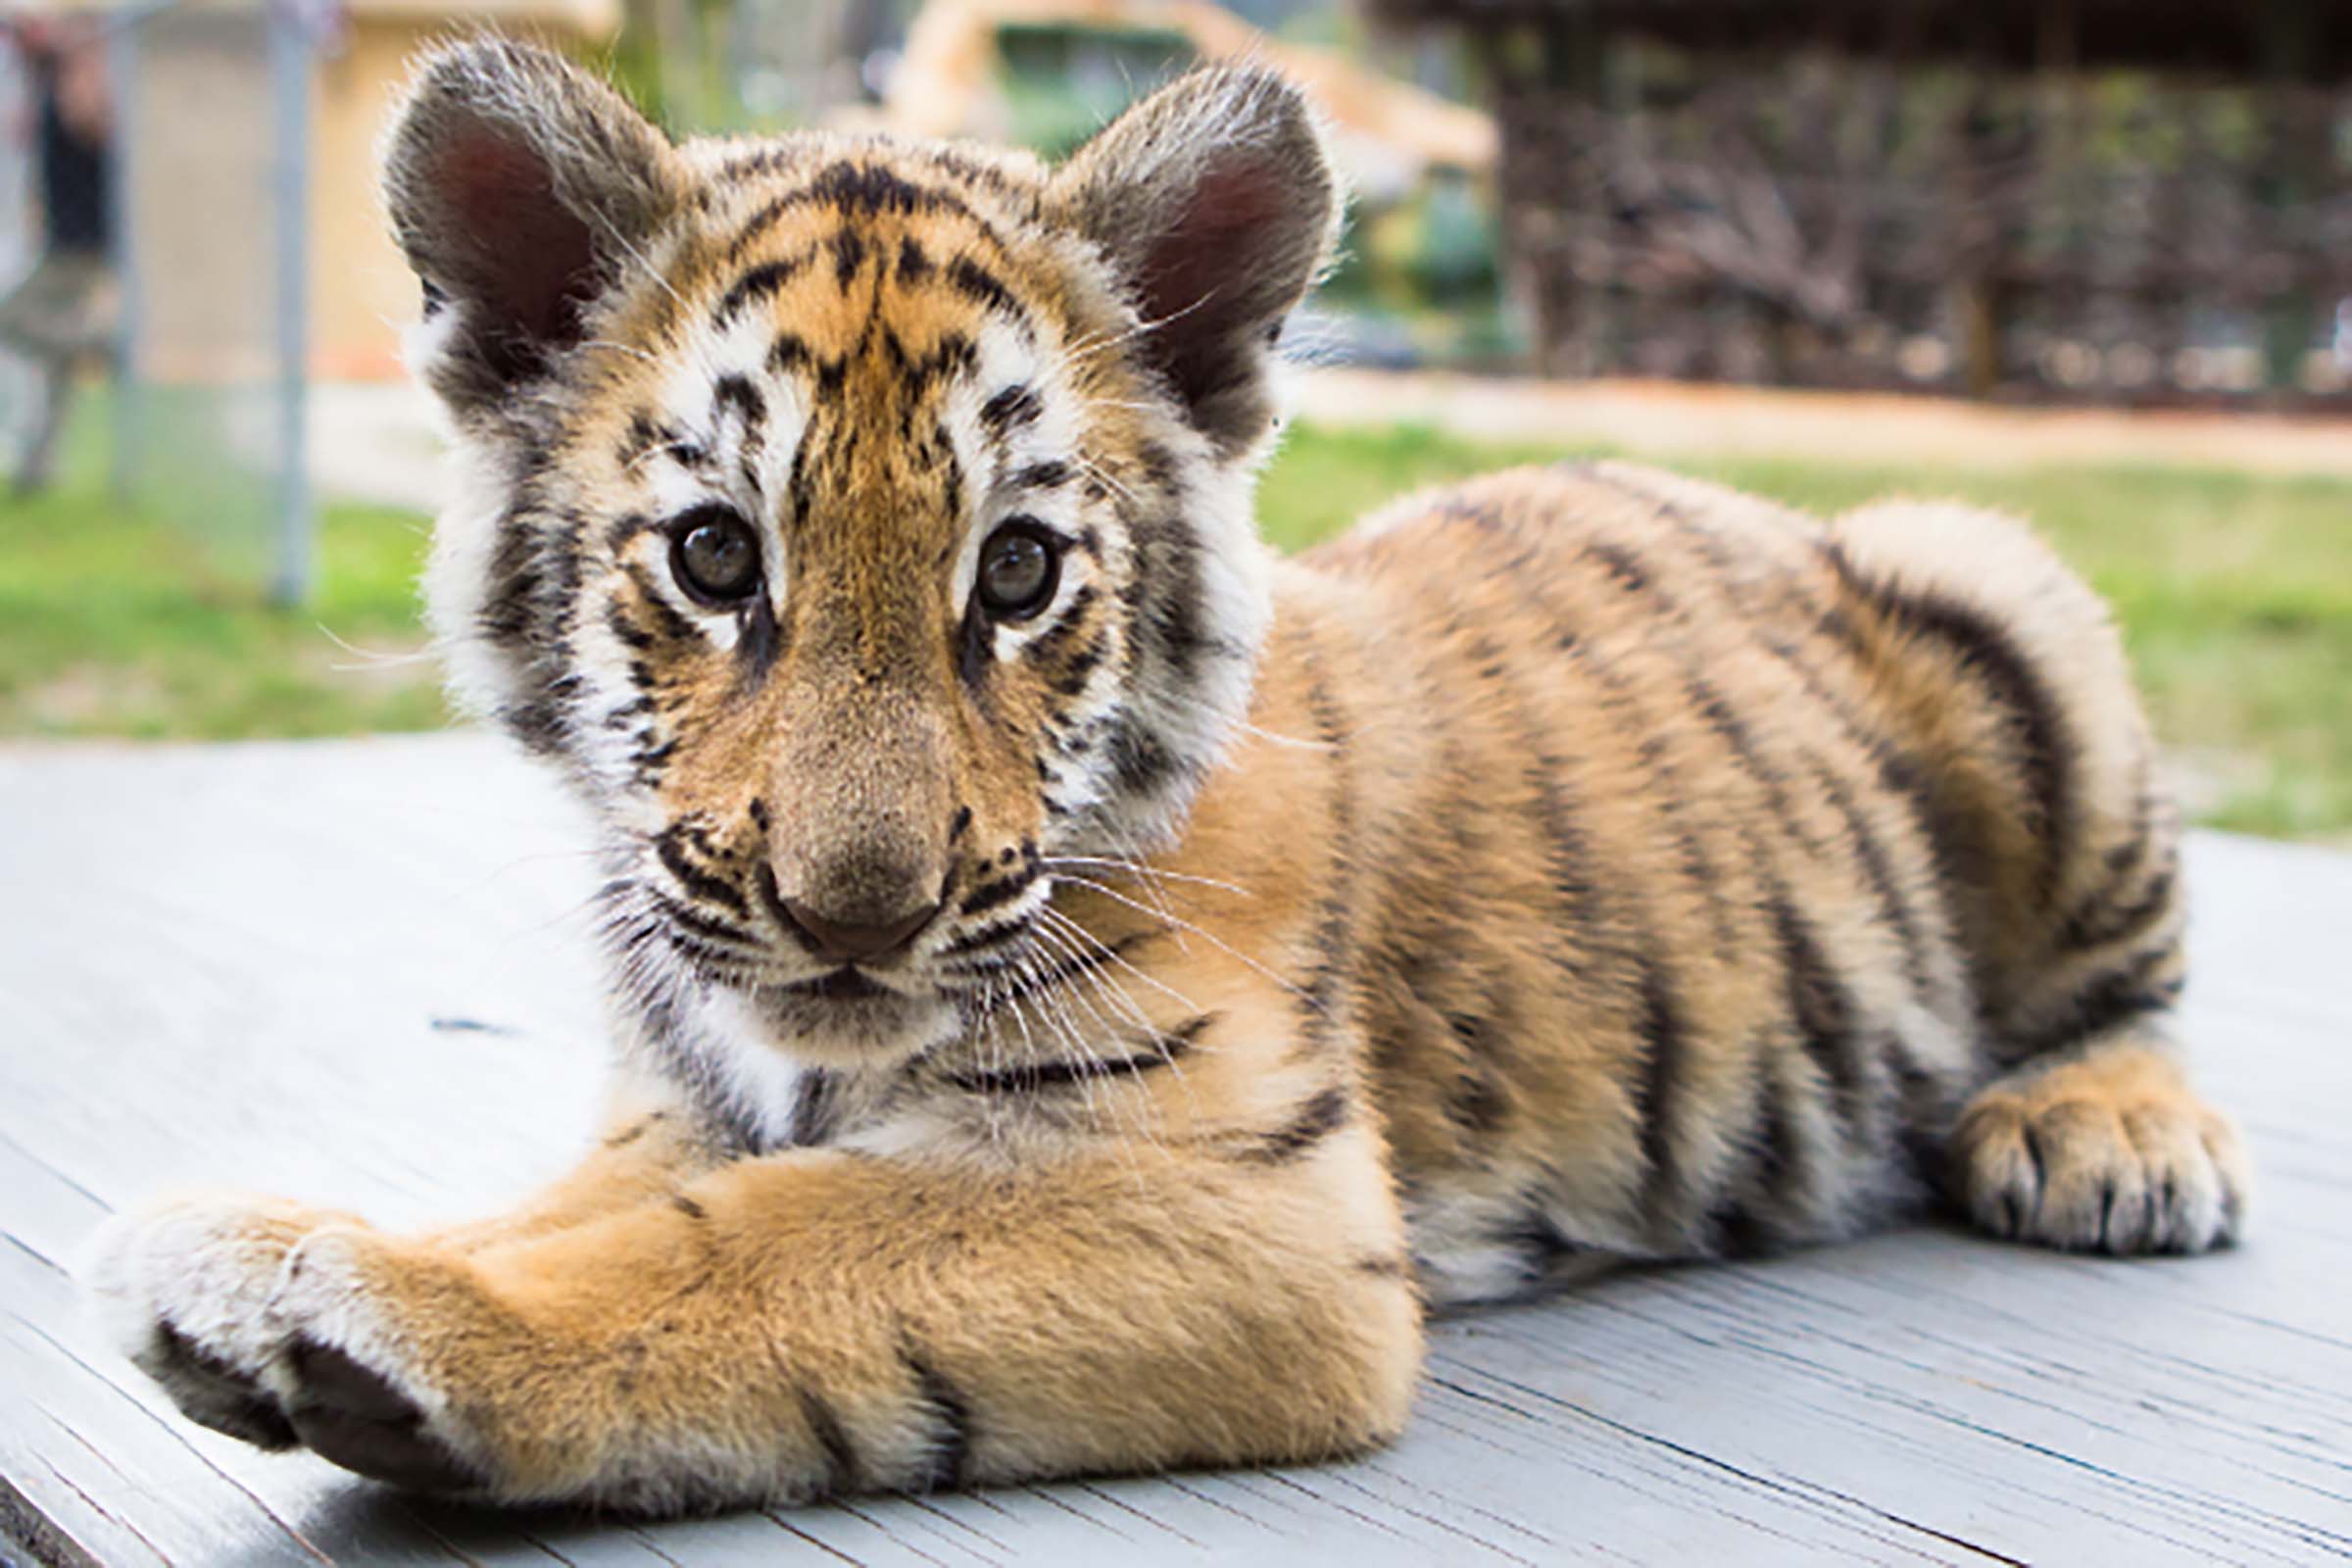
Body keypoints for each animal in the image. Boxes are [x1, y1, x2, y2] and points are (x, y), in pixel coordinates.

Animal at [82, 38, 2248, 1513]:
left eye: (1017, 573)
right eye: (714, 557)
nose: (853, 916)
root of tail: (1742, 496)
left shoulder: (1232, 1201)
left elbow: (760, 1248)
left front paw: (384, 1319)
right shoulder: (672, 1111)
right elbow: (572, 1208)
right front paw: (307, 1254)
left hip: (2000, 588)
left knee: (2139, 987)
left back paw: (2109, 1139)